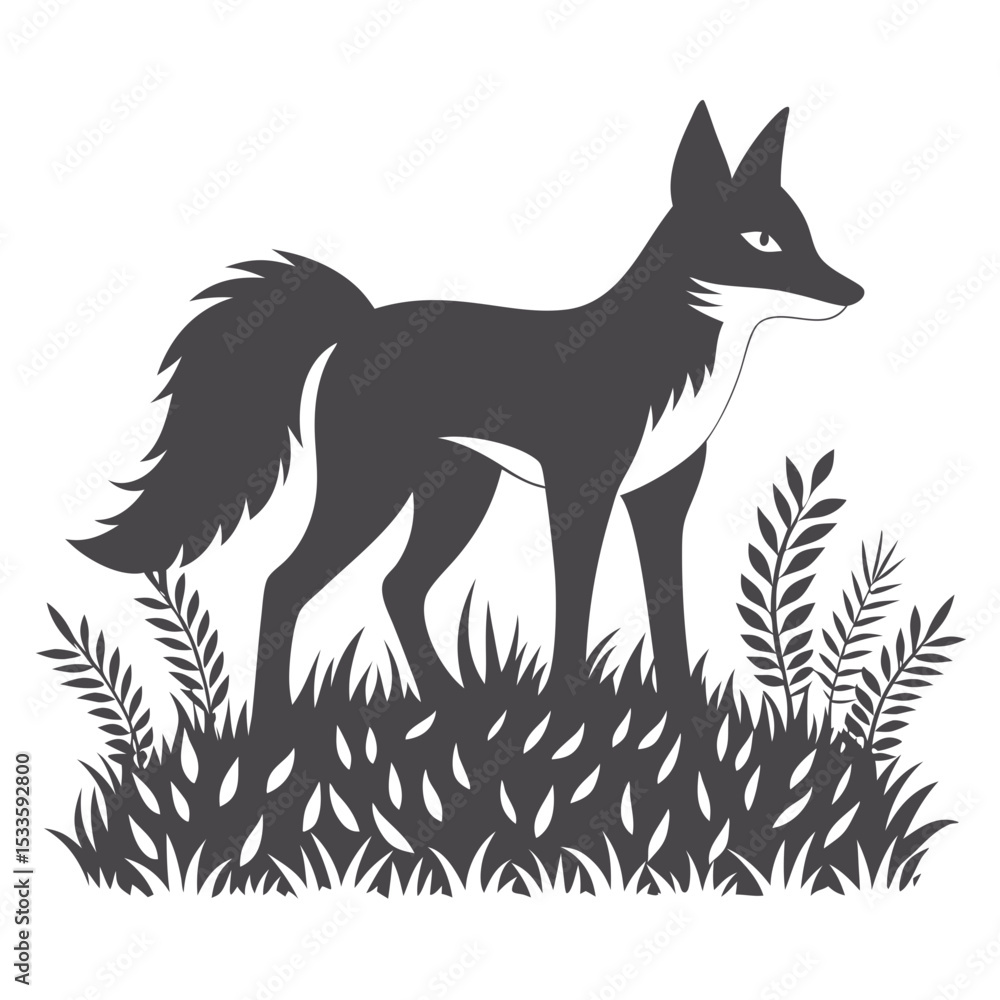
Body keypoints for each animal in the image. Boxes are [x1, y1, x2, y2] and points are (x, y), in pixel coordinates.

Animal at [71, 102, 863, 714]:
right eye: (761, 240)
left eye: (805, 233)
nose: (853, 291)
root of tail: (361, 321)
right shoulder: (581, 490)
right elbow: (573, 606)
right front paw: (571, 716)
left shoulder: (664, 495)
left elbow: (669, 616)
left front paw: (685, 722)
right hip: (373, 491)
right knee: (284, 583)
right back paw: (274, 730)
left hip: (456, 494)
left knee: (396, 588)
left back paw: (452, 704)